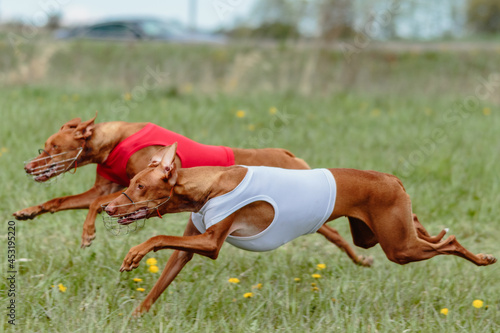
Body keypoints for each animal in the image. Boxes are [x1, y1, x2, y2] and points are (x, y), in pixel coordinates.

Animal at [12, 114, 368, 268]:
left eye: (52, 147)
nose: (28, 167)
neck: (116, 140)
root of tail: (288, 155)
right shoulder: (111, 186)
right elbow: (60, 200)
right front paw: (27, 212)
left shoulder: (131, 190)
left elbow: (96, 204)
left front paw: (88, 233)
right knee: (336, 236)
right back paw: (362, 260)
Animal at [105, 144, 496, 316]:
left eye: (139, 186)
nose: (109, 207)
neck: (210, 185)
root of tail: (390, 177)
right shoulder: (190, 244)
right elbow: (159, 283)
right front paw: (134, 317)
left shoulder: (212, 242)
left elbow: (157, 237)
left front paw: (134, 254)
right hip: (372, 235)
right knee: (419, 228)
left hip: (398, 248)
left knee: (450, 240)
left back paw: (482, 258)